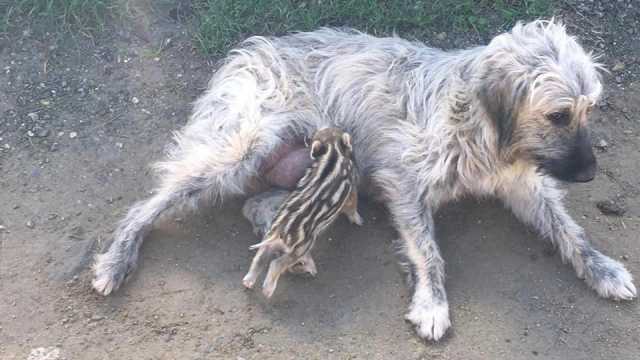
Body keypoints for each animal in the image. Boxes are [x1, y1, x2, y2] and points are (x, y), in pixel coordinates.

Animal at [92, 19, 636, 340]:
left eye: (590, 110)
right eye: (558, 115)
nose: (589, 173)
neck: (480, 122)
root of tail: (250, 52)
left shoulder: (523, 183)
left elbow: (570, 232)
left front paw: (604, 268)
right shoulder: (404, 182)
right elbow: (429, 250)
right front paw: (432, 302)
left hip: (297, 168)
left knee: (255, 206)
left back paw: (287, 245)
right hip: (239, 150)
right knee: (148, 204)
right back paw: (116, 259)